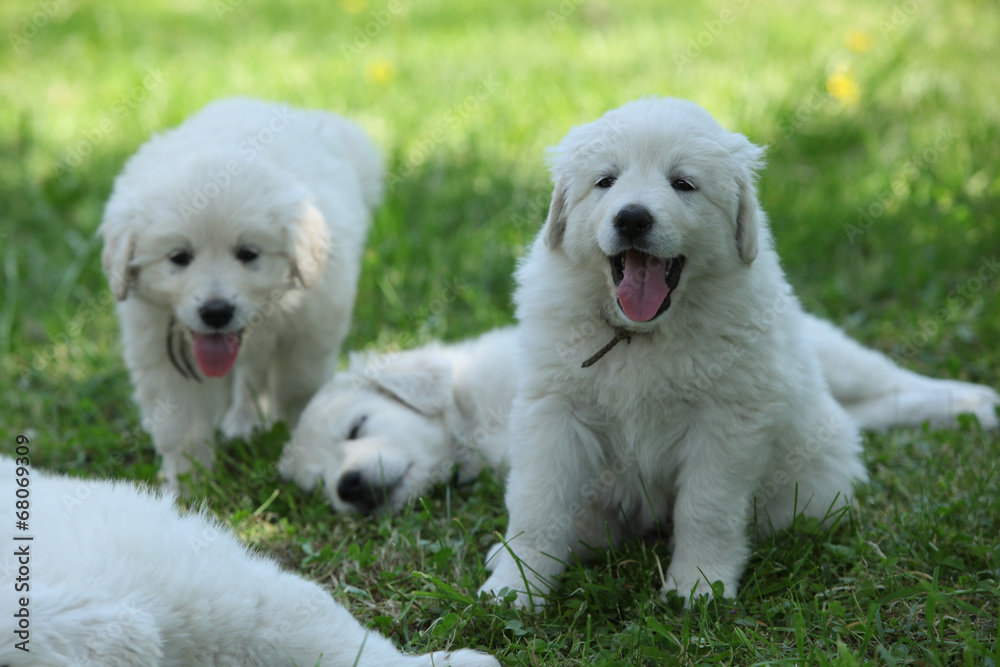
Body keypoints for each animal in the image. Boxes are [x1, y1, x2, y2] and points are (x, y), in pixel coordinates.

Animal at [99, 96, 382, 488]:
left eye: (248, 254)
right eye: (179, 257)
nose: (216, 312)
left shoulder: (311, 328)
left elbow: (297, 389)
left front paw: (297, 441)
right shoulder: (158, 347)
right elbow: (181, 424)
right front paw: (188, 485)